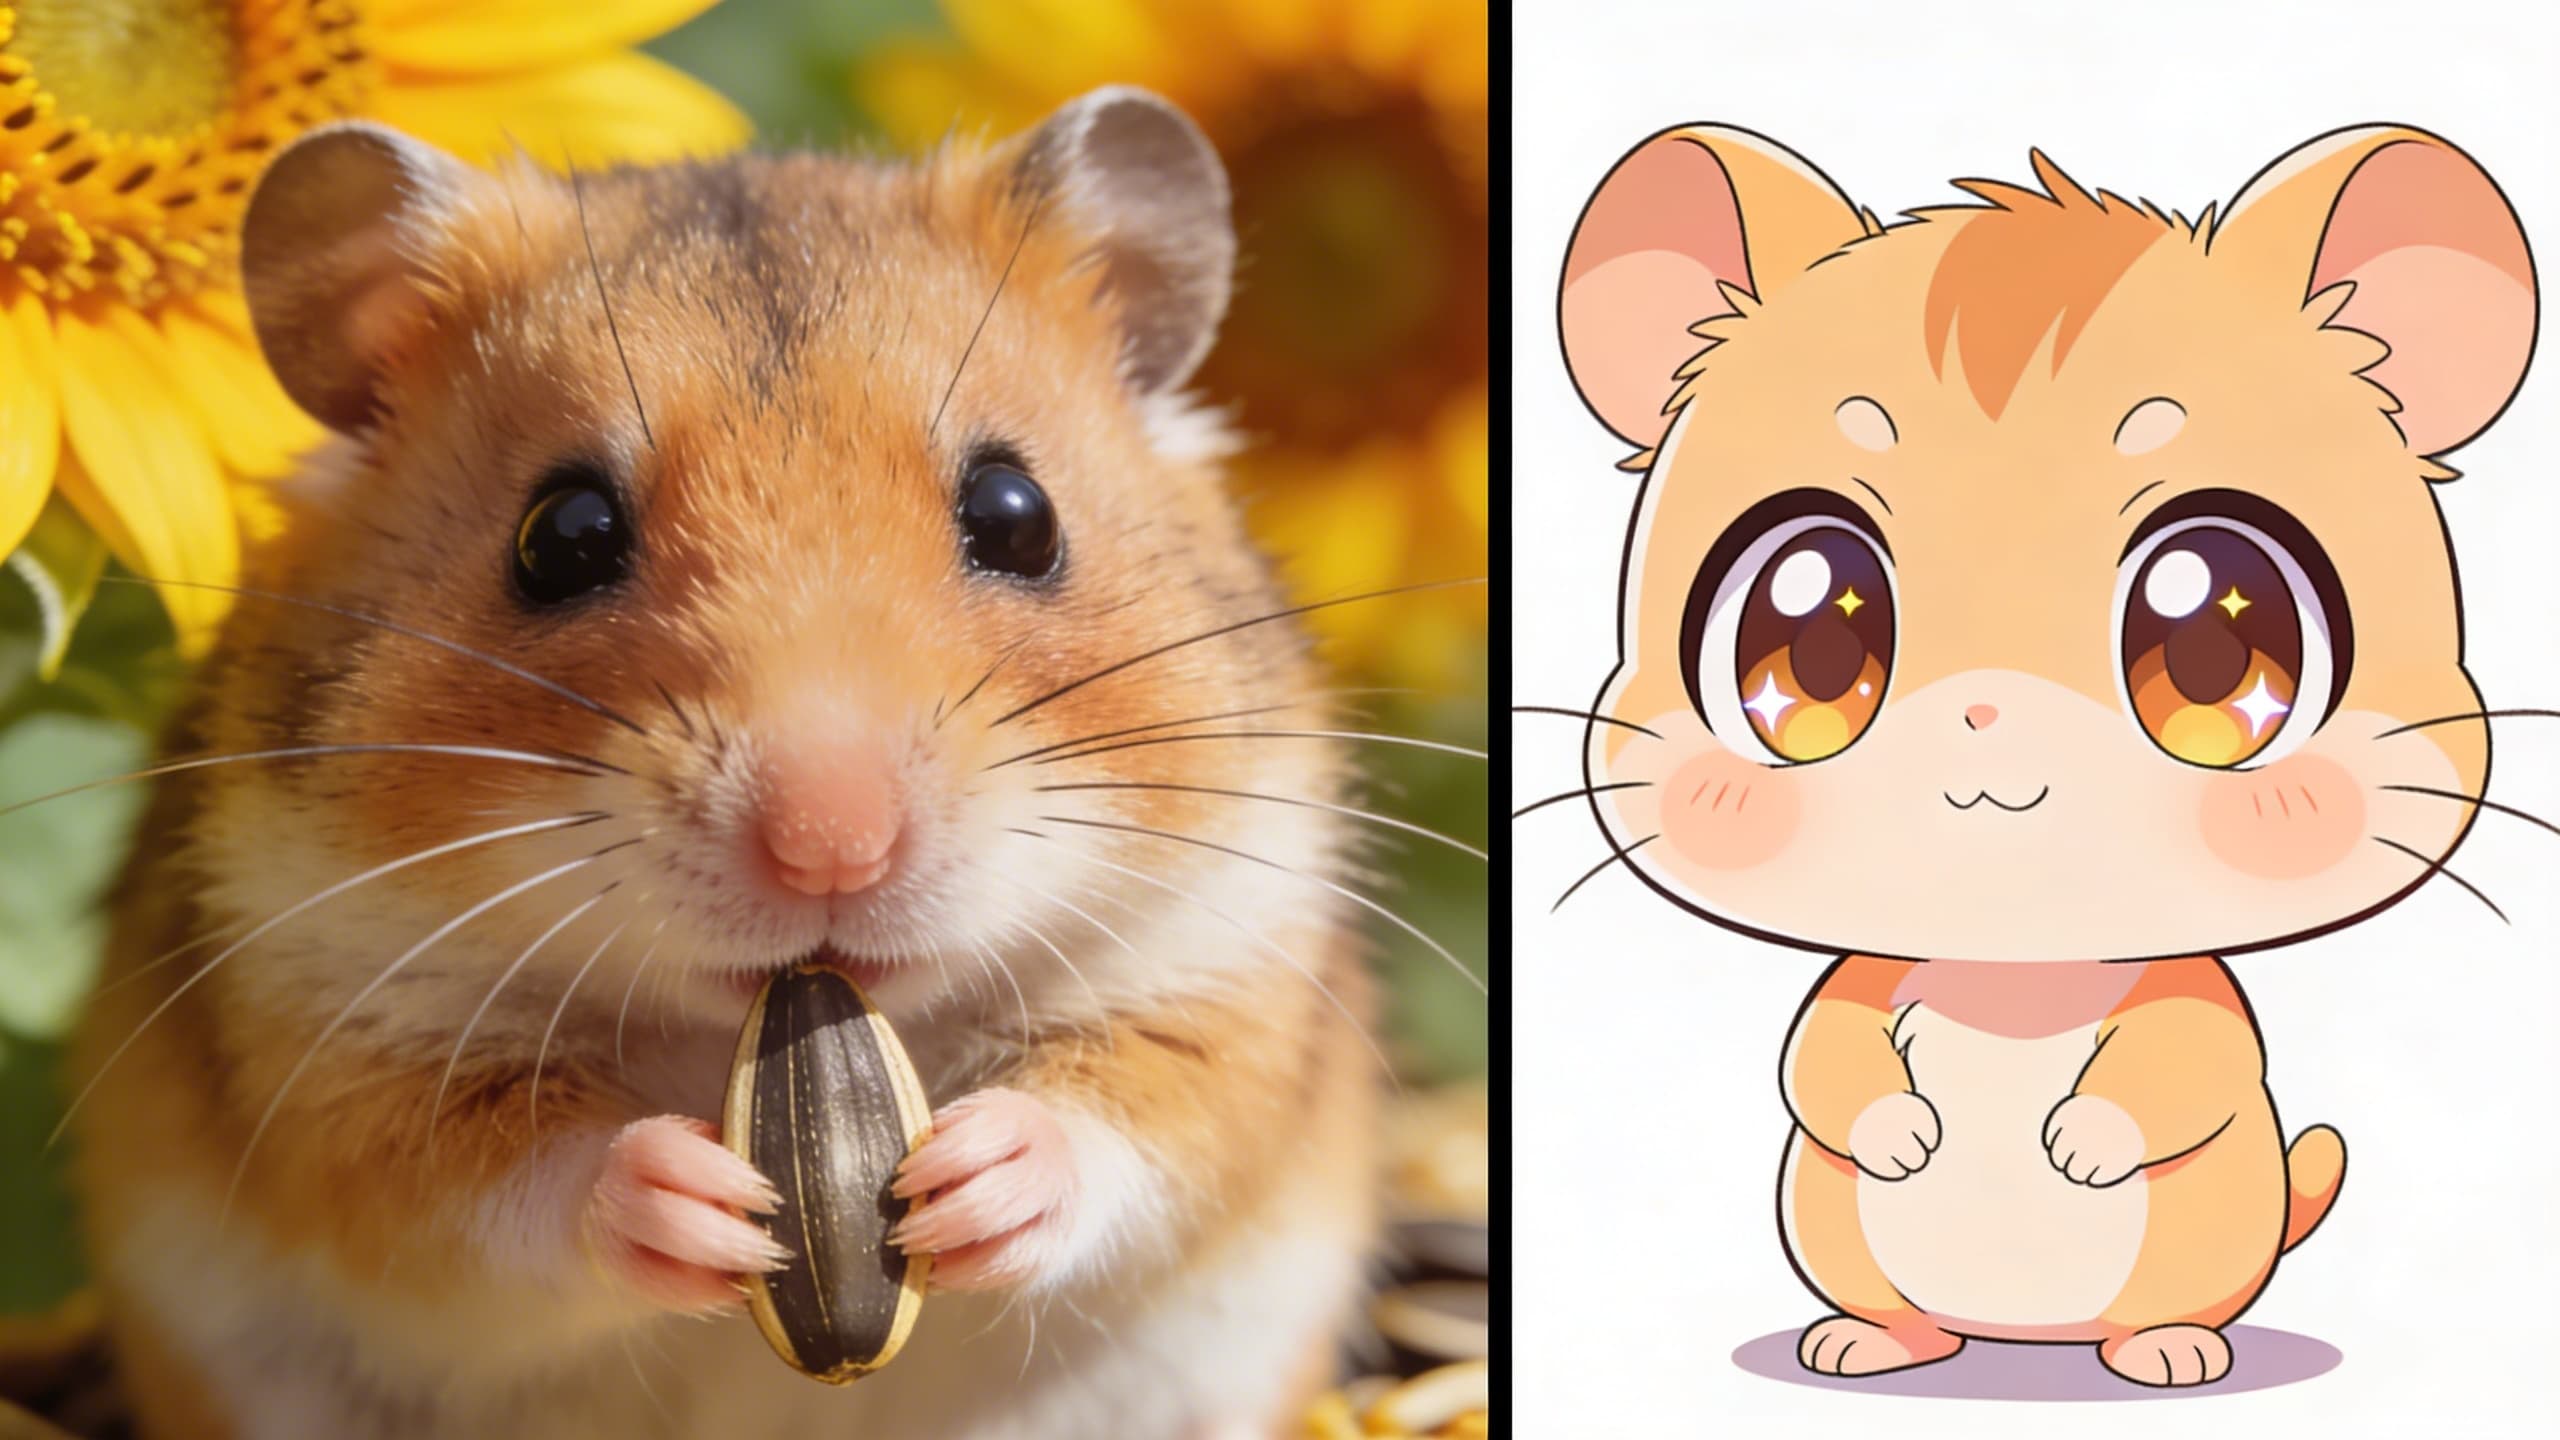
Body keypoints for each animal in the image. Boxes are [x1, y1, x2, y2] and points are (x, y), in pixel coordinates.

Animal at [64, 87, 1387, 1439]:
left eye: (1019, 514)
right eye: (562, 536)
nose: (831, 848)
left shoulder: (1226, 965)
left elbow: (1133, 1118)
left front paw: (969, 1177)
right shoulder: (331, 1035)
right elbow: (501, 1185)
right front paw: (707, 1199)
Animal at [1550, 123, 2533, 1385]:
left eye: (2217, 644)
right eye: (1809, 631)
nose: (1986, 716)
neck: (2014, 963)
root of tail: (2026, 1338)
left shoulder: (2191, 993)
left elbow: (2187, 1058)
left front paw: (2079, 1146)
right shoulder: (1859, 985)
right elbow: (1824, 1054)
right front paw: (1906, 1135)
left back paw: (2166, 1354)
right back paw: (1863, 1344)